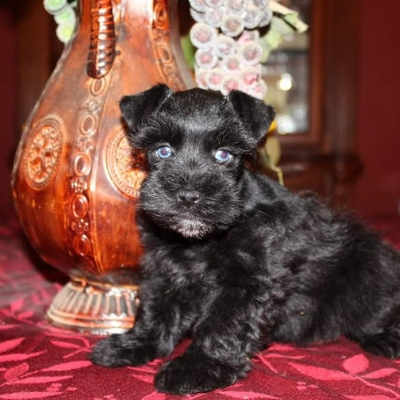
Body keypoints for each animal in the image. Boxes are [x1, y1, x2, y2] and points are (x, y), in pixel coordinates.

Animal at [90, 83, 400, 394]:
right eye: (163, 151)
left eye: (224, 155)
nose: (189, 196)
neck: (203, 240)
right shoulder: (163, 272)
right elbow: (155, 311)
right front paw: (134, 344)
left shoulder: (245, 285)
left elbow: (222, 324)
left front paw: (198, 368)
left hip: (369, 272)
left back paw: (385, 338)